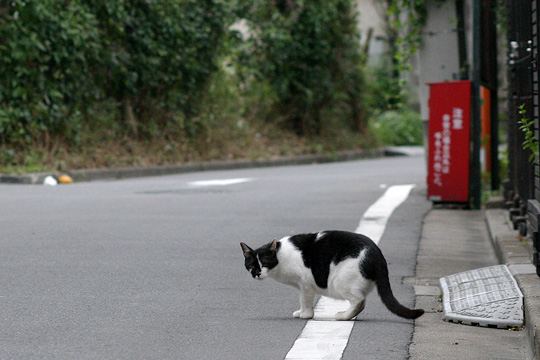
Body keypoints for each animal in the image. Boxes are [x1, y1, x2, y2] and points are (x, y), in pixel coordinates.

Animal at [239, 231, 422, 320]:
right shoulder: (302, 286)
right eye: (252, 265)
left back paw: (343, 316)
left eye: (264, 263)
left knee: (360, 301)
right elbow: (301, 299)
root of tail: (377, 254)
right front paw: (301, 312)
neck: (281, 256)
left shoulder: (305, 283)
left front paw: (306, 314)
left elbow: (305, 300)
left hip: (340, 281)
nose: (257, 273)